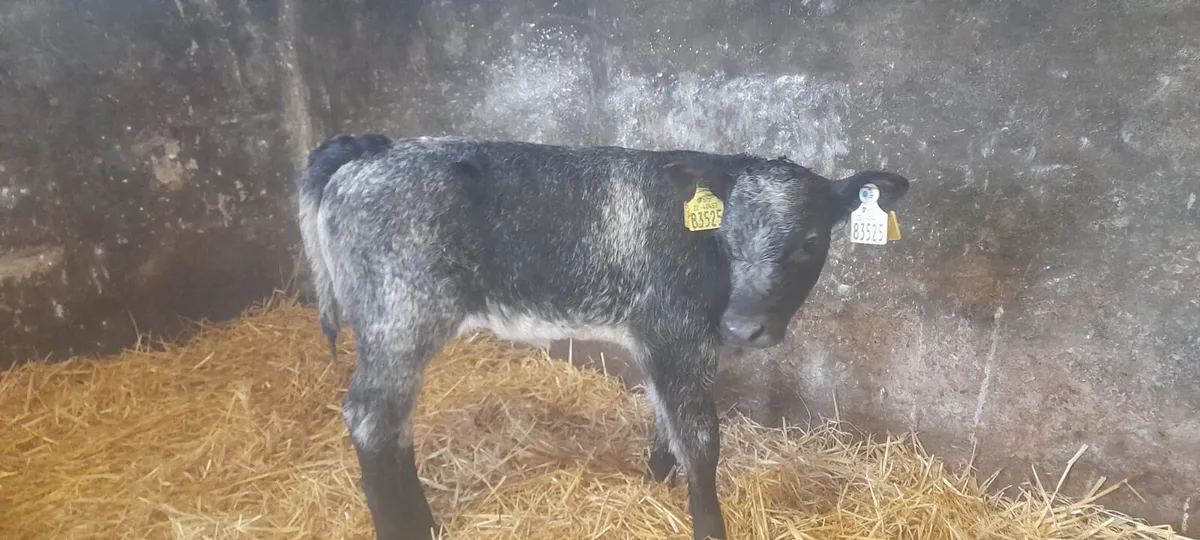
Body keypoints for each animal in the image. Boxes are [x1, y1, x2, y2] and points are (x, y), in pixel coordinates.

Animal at [295, 134, 909, 540]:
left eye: (810, 241)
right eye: (729, 237)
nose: (742, 326)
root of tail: (371, 149)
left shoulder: (675, 341)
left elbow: (667, 419)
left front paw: (654, 483)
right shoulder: (673, 331)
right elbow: (701, 437)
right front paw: (708, 524)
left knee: (391, 426)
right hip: (401, 315)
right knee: (371, 419)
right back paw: (409, 527)